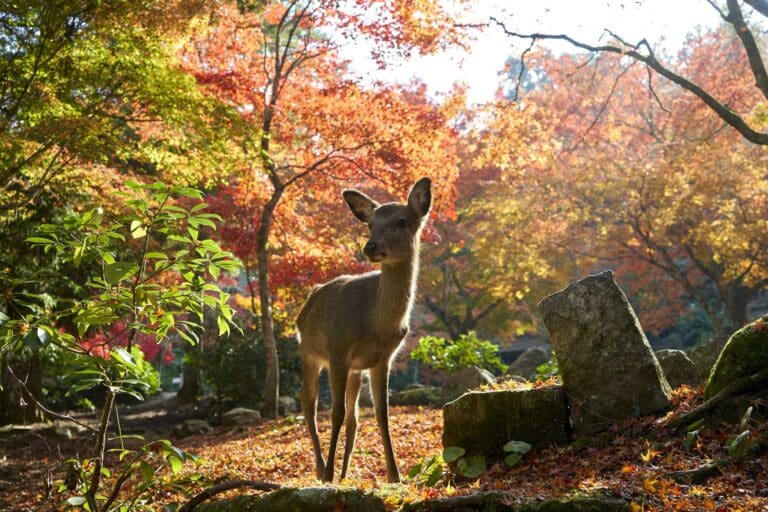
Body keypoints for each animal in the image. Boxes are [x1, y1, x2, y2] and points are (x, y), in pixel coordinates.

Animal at [296, 178, 432, 482]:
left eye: (401, 221)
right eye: (371, 224)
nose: (370, 246)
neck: (378, 325)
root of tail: (310, 297)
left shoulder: (382, 359)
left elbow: (381, 413)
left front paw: (395, 474)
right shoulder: (338, 350)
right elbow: (335, 412)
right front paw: (329, 473)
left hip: (354, 370)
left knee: (353, 418)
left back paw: (345, 473)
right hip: (309, 353)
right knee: (308, 402)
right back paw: (321, 468)